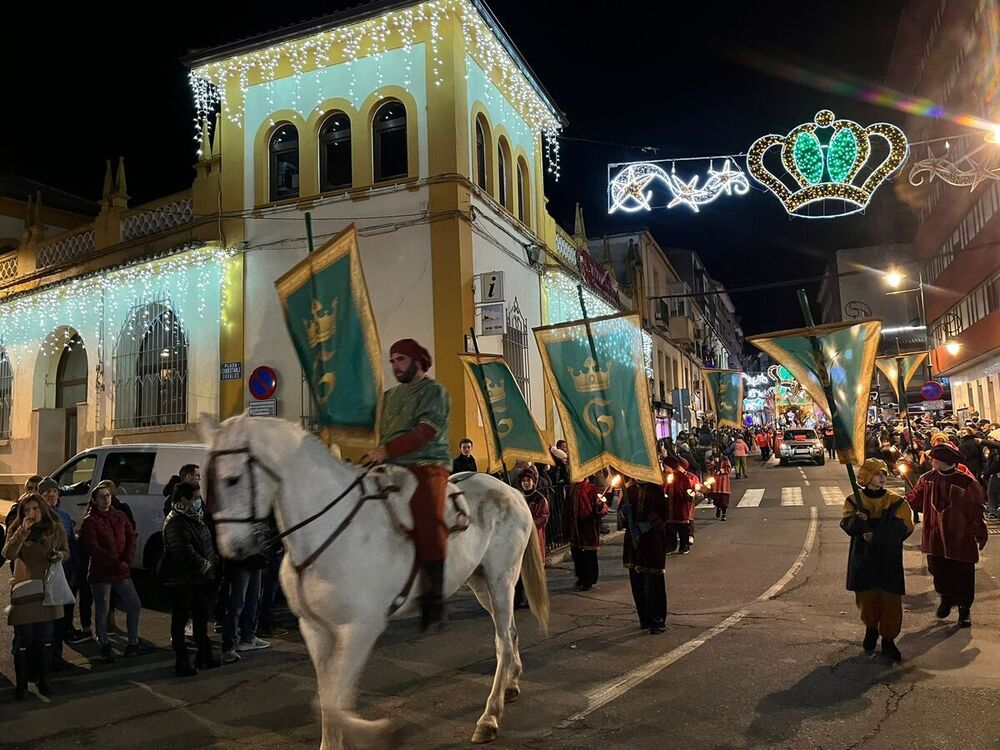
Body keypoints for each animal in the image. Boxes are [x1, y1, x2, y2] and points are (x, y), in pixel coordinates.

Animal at [199, 414, 552, 748]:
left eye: (232, 479)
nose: (232, 550)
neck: (329, 530)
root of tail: (512, 491)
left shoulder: (360, 629)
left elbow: (334, 701)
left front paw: (381, 733)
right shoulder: (314, 629)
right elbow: (327, 697)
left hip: (501, 580)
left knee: (502, 641)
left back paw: (489, 718)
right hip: (480, 584)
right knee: (510, 632)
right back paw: (511, 684)